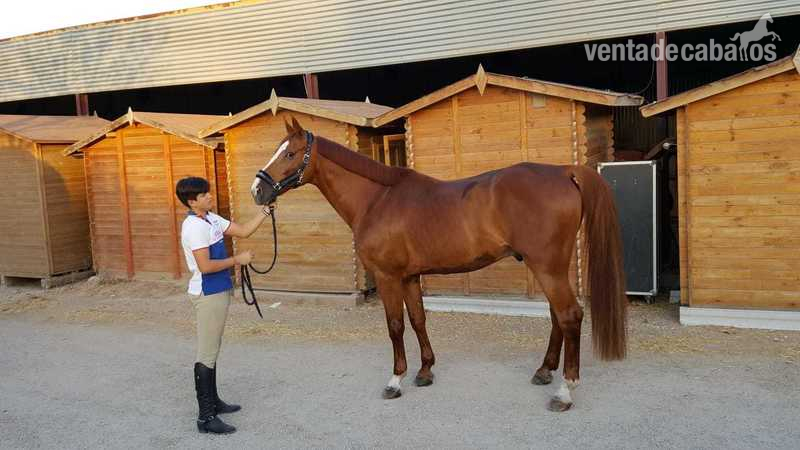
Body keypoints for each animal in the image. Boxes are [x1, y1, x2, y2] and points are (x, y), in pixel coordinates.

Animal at [250, 117, 627, 412]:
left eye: (289, 153)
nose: (257, 191)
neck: (377, 199)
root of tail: (564, 171)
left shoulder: (388, 277)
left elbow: (395, 326)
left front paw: (395, 380)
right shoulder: (410, 276)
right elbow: (418, 320)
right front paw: (425, 371)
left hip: (547, 267)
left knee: (570, 315)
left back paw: (564, 391)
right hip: (552, 267)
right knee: (556, 317)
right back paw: (544, 371)